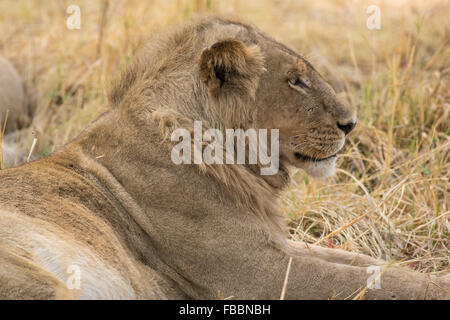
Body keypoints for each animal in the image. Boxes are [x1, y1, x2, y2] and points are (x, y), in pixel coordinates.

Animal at [0, 16, 448, 298]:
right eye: (295, 81)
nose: (351, 124)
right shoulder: (255, 273)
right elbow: (371, 282)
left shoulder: (277, 245)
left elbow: (366, 262)